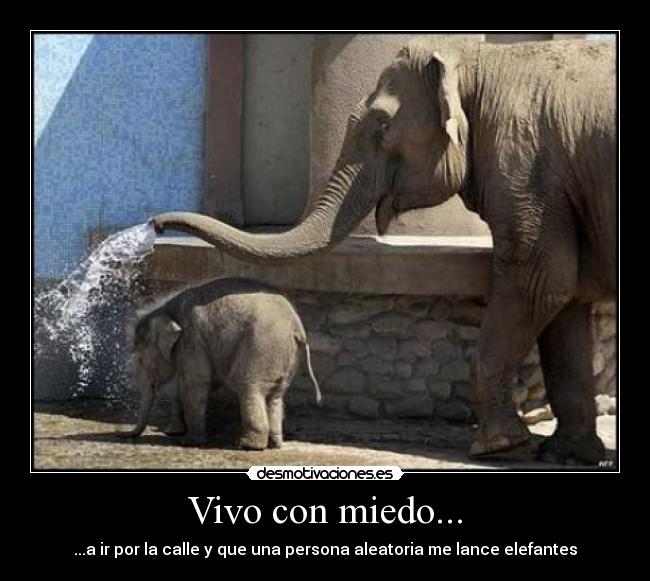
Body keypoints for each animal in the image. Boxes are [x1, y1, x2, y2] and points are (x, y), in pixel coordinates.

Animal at [120, 277, 321, 450]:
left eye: (140, 359)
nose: (124, 435)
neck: (166, 309)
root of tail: (297, 326)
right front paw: (175, 432)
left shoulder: (192, 341)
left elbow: (195, 384)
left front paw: (189, 442)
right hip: (286, 358)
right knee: (275, 397)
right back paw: (275, 444)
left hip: (260, 348)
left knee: (247, 388)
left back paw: (247, 445)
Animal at [151, 37, 615, 464]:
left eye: (381, 126)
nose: (155, 224)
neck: (478, 60)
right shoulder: (556, 185)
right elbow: (567, 297)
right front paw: (567, 455)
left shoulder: (525, 167)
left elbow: (538, 281)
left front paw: (500, 447)